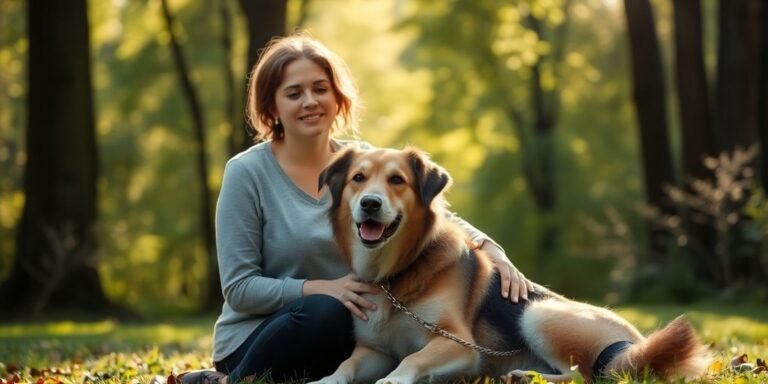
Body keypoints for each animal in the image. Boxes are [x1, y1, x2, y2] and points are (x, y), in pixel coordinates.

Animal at [308, 147, 712, 384]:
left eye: (397, 180)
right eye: (358, 178)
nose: (370, 204)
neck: (395, 274)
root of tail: (635, 345)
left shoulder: (459, 345)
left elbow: (412, 359)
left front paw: (393, 380)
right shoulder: (374, 351)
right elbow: (345, 367)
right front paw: (325, 380)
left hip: (539, 313)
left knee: (585, 375)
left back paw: (525, 377)